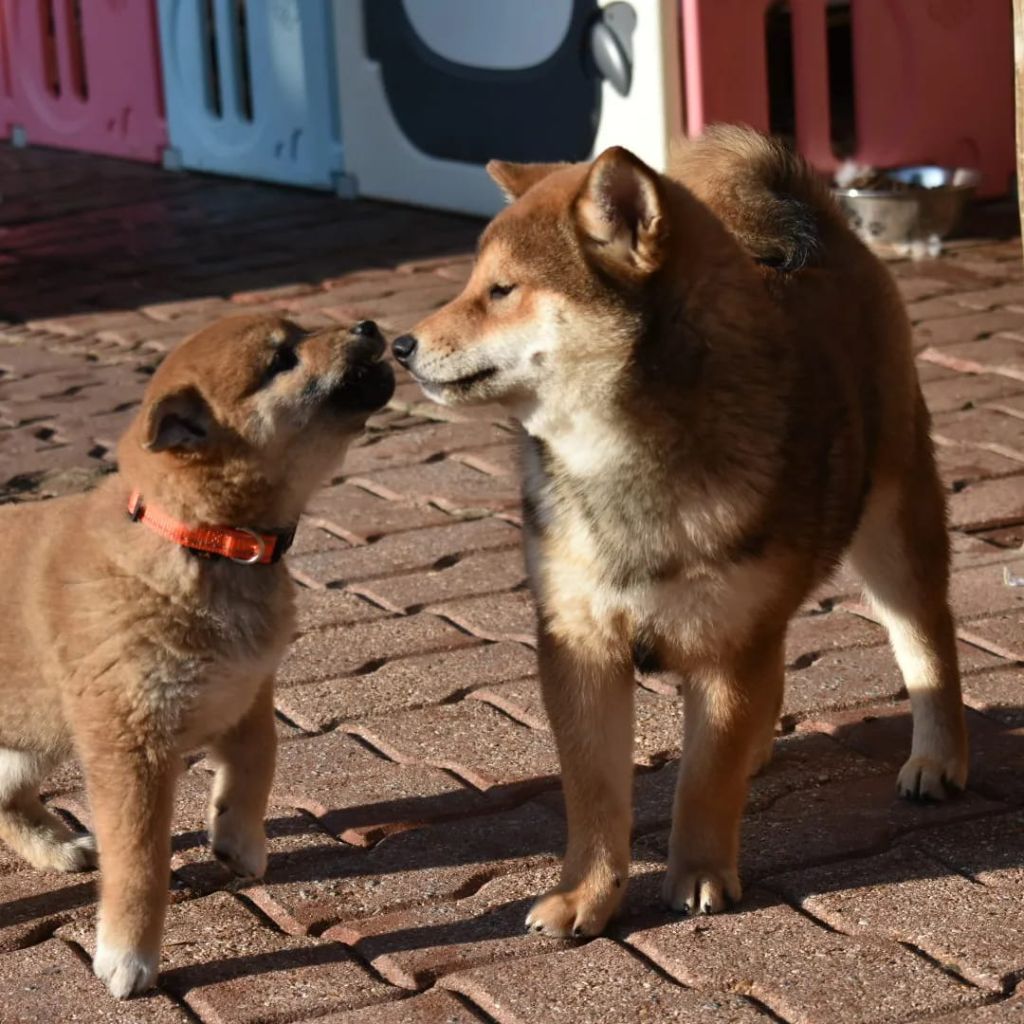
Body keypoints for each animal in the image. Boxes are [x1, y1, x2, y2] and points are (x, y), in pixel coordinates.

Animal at [0, 315, 391, 995]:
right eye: (282, 360)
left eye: (299, 330)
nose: (367, 324)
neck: (203, 543)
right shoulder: (130, 746)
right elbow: (141, 863)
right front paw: (128, 953)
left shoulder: (249, 689)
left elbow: (260, 758)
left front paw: (238, 837)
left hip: (35, 732)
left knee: (7, 799)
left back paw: (56, 847)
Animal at [391, 130, 966, 942]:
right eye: (473, 281)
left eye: (501, 290)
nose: (399, 346)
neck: (617, 460)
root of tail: (824, 234)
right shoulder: (580, 642)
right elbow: (596, 796)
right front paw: (586, 895)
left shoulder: (725, 644)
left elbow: (702, 781)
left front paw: (697, 873)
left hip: (891, 530)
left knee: (927, 644)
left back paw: (938, 760)